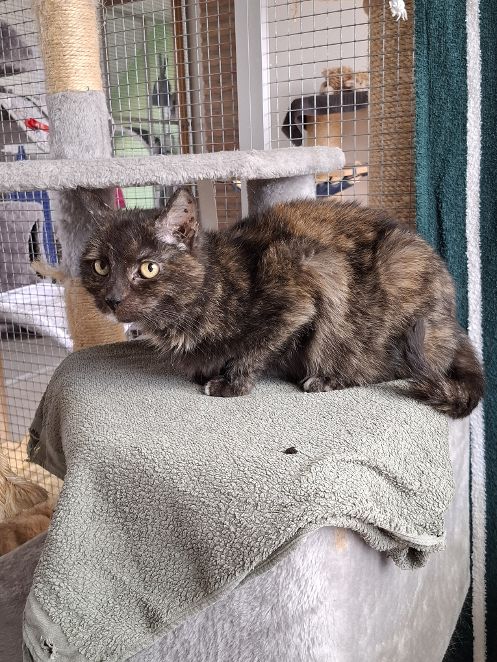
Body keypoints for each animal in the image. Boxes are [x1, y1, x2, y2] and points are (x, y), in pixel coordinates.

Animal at [79, 188, 484, 418]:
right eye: (101, 266)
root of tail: (455, 323)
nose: (112, 299)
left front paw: (230, 383)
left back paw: (327, 378)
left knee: (394, 366)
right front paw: (207, 371)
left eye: (148, 268)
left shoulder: (301, 289)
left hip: (396, 272)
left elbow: (256, 348)